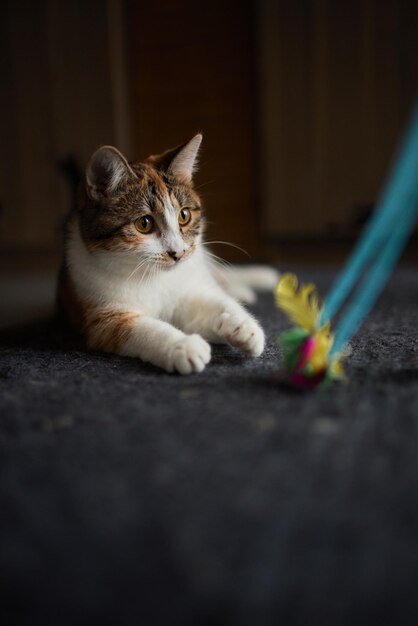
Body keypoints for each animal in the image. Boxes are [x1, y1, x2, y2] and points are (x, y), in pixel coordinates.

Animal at [55, 134, 278, 372]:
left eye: (184, 216)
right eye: (144, 223)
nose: (178, 253)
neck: (152, 275)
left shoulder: (189, 286)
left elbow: (212, 300)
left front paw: (243, 326)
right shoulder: (102, 317)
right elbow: (142, 330)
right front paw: (183, 346)